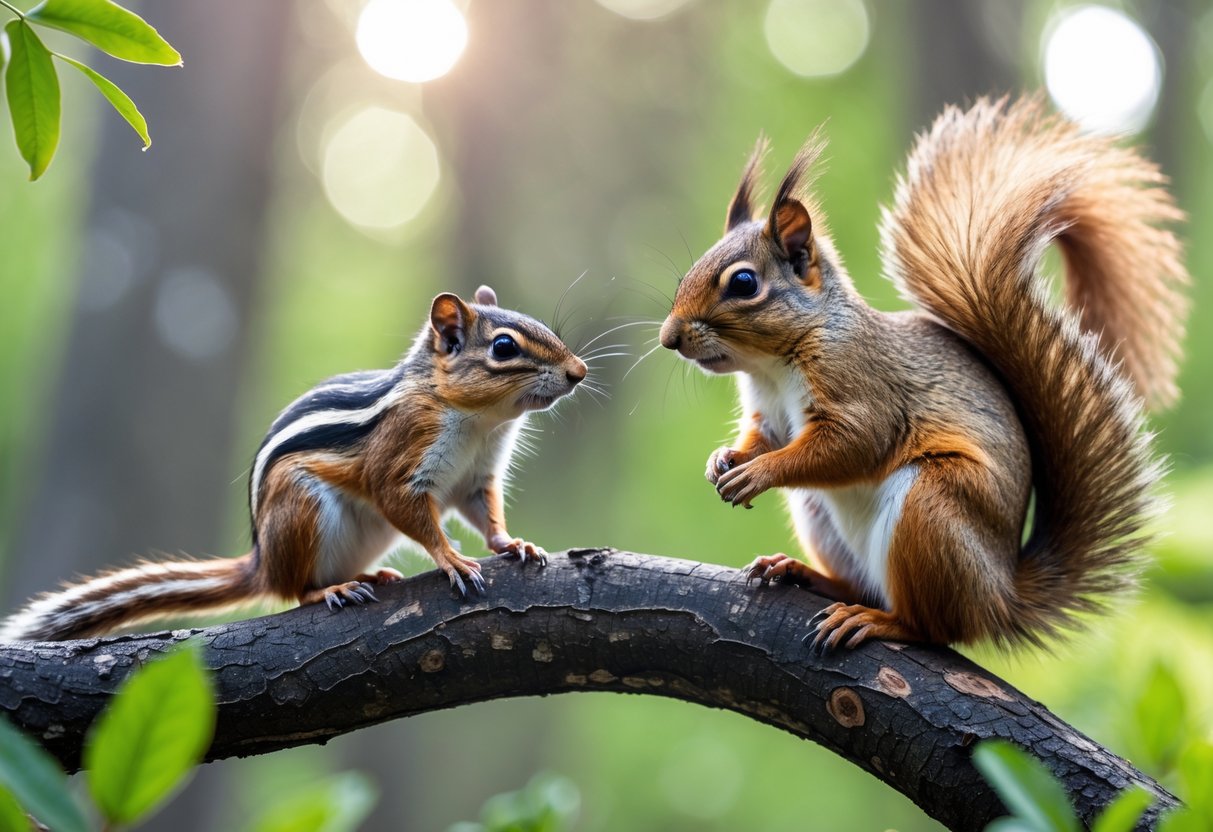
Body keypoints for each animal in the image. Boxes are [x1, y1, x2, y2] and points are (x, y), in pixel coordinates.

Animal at [1, 286, 587, 642]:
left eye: (537, 323)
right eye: (504, 347)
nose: (578, 371)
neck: (479, 420)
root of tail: (262, 561)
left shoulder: (476, 477)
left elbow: (486, 515)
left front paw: (513, 543)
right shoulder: (403, 455)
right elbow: (403, 503)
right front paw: (452, 560)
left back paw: (370, 574)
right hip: (302, 507)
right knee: (295, 592)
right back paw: (331, 589)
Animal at [659, 96, 1188, 650]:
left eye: (743, 283)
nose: (669, 337)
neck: (773, 365)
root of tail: (998, 598)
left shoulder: (861, 384)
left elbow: (855, 443)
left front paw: (758, 472)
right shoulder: (769, 412)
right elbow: (766, 438)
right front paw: (725, 458)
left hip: (931, 506)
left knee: (930, 626)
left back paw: (876, 621)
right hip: (821, 515)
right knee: (862, 584)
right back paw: (806, 574)